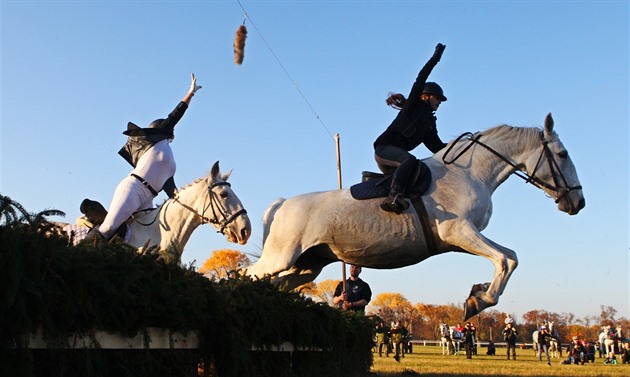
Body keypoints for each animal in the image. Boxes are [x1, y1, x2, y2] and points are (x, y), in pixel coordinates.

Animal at [247, 114, 588, 318]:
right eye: (562, 155)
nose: (579, 202)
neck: (472, 172)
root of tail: (281, 204)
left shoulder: (465, 237)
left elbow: (511, 257)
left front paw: (477, 295)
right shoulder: (458, 232)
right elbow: (504, 260)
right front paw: (478, 301)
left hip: (308, 265)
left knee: (274, 284)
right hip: (281, 257)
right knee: (248, 276)